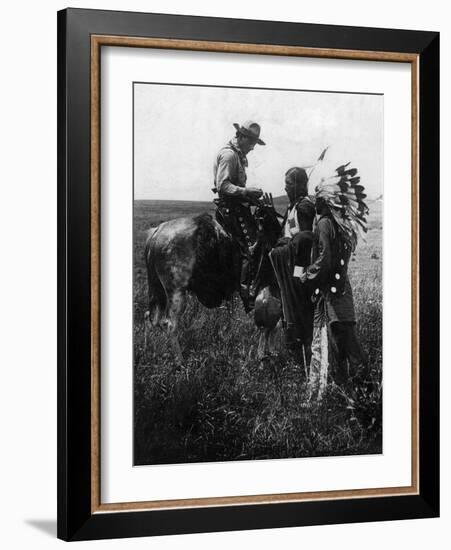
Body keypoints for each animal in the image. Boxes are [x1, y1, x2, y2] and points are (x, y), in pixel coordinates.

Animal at [144, 199, 286, 362]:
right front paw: (263, 355)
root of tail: (156, 232)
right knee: (170, 325)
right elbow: (269, 325)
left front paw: (270, 352)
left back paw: (148, 350)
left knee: (150, 318)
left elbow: (272, 326)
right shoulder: (271, 288)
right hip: (176, 292)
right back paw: (180, 361)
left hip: (158, 290)